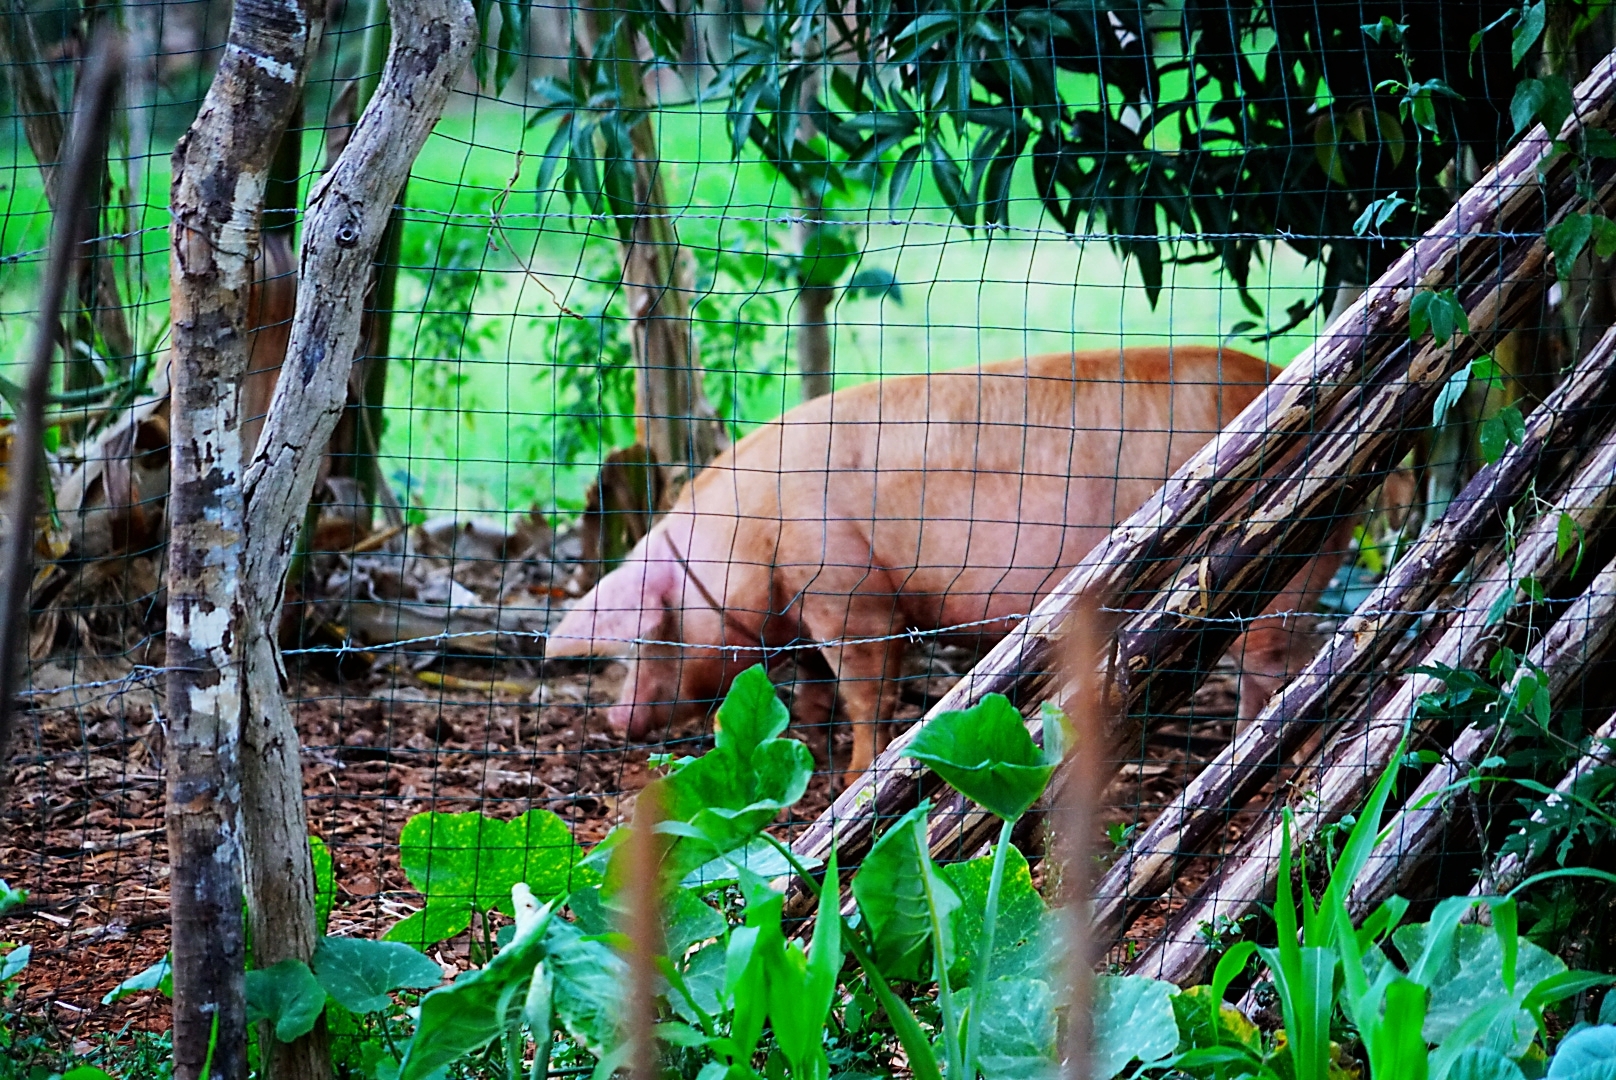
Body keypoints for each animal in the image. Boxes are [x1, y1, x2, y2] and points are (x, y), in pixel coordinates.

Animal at [549, 350, 1344, 779]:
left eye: (642, 640)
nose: (614, 719)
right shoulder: (812, 604)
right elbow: (816, 688)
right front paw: (810, 746)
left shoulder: (849, 592)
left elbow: (867, 693)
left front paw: (855, 775)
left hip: (1288, 550)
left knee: (1269, 664)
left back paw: (1244, 747)